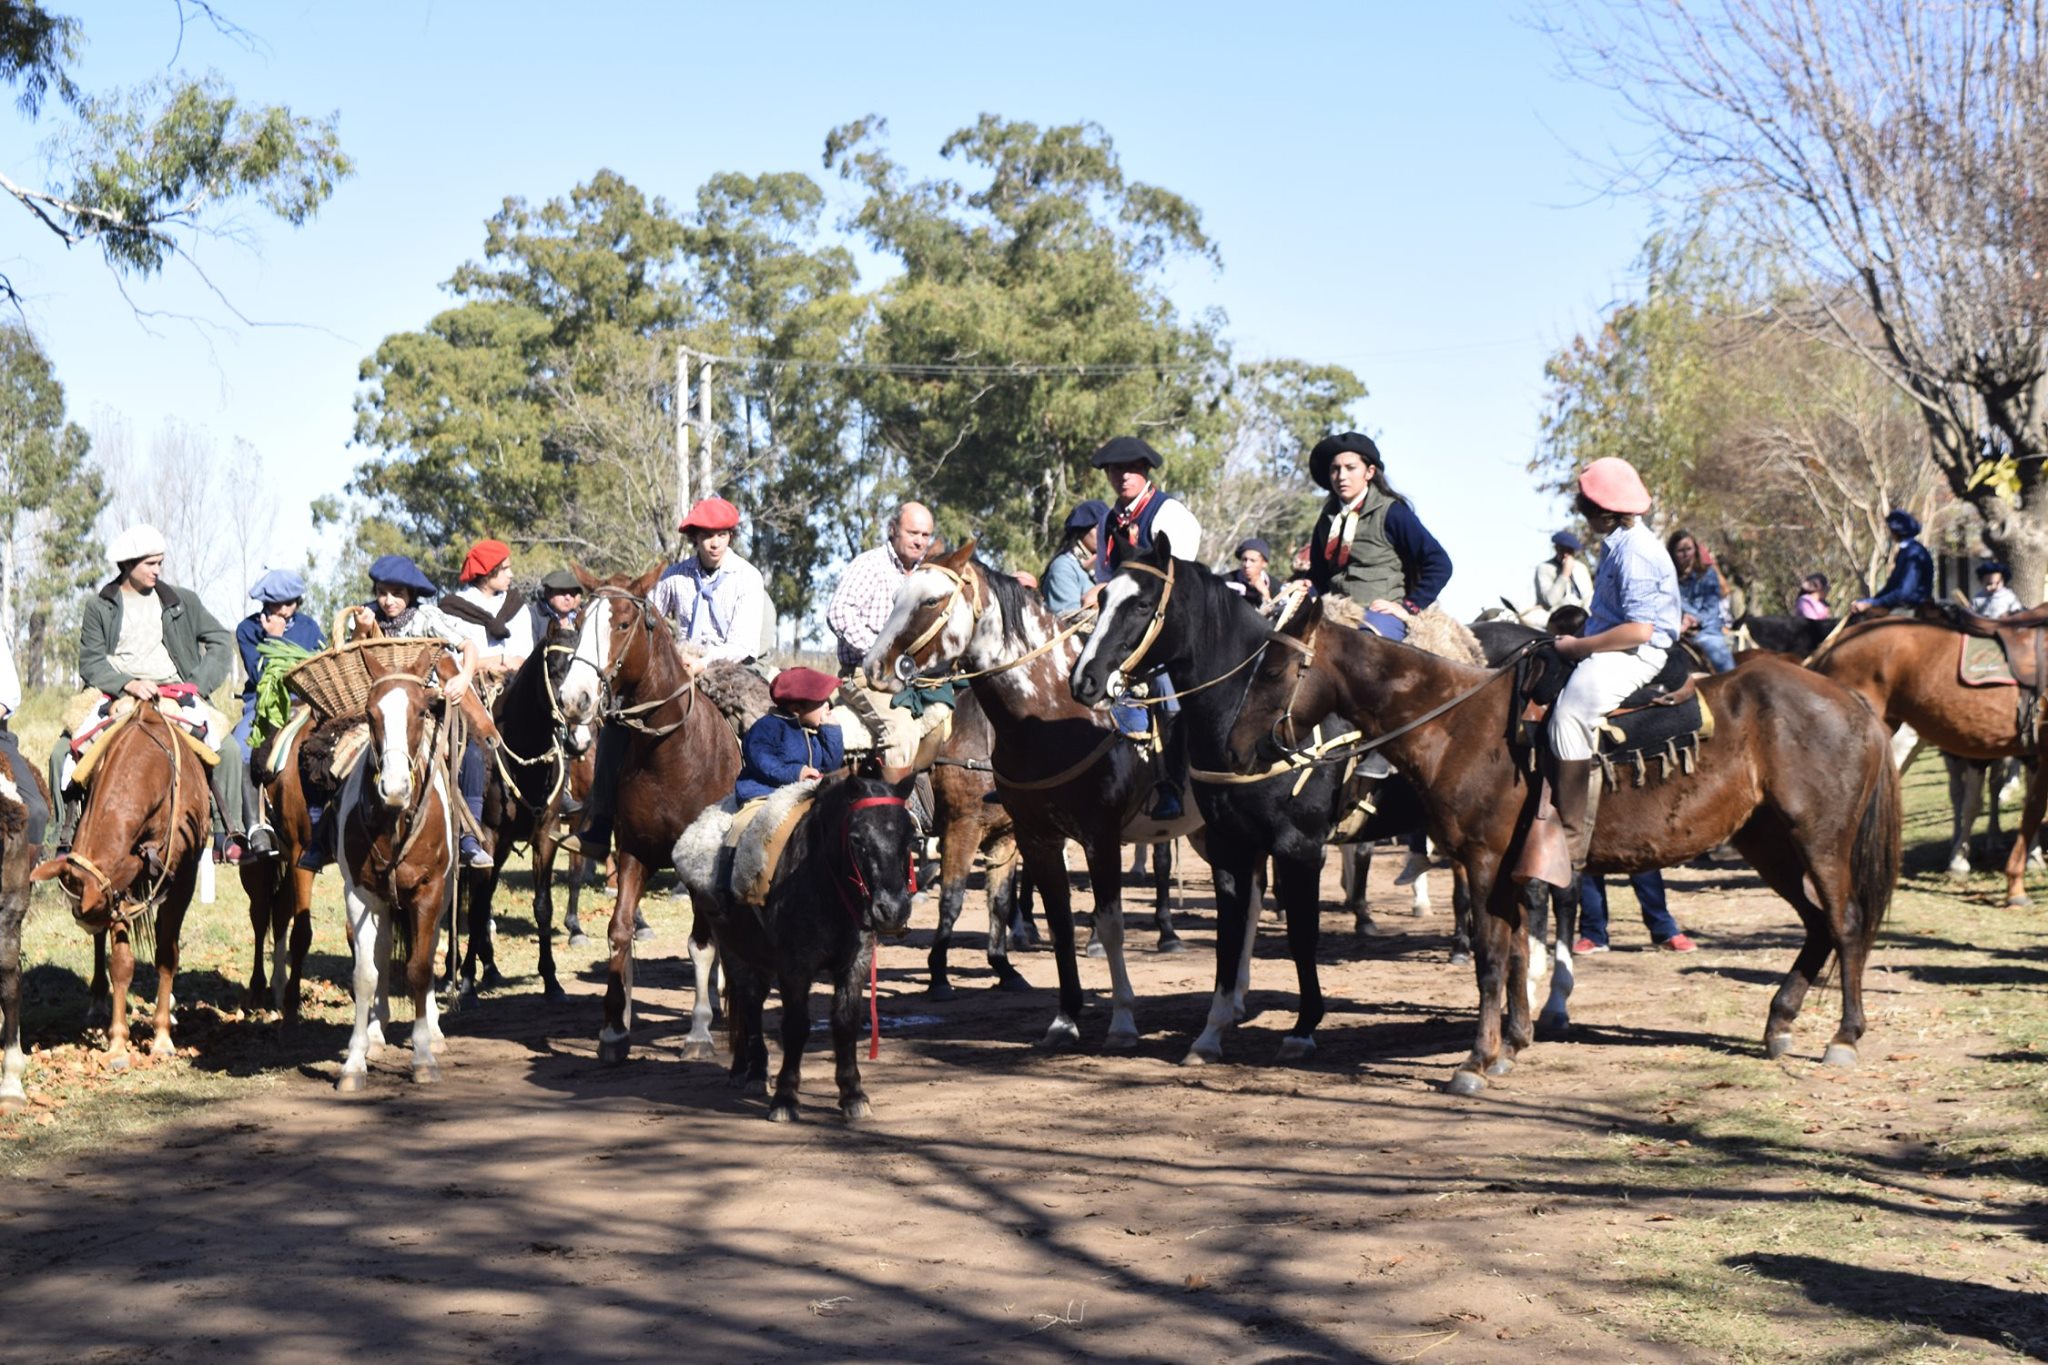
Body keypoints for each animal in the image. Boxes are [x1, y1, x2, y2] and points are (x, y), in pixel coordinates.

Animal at [32, 712, 214, 1072]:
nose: (88, 922)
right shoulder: (121, 888)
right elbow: (120, 962)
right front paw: (117, 1043)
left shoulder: (182, 879)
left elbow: (167, 954)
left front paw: (162, 1036)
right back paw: (98, 999)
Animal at [557, 564, 741, 1064]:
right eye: (578, 620)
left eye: (623, 624)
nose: (574, 698)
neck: (671, 754)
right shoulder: (633, 853)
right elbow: (620, 931)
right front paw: (613, 1029)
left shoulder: (698, 866)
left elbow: (700, 944)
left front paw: (698, 1033)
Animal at [868, 540, 1196, 1047]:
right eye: (896, 595)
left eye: (930, 600)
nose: (875, 666)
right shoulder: (1028, 835)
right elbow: (1048, 917)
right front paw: (1064, 1016)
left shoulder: (1086, 836)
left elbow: (1099, 920)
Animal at [1220, 601, 1892, 1096]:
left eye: (1275, 672)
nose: (1236, 746)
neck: (1460, 726)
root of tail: (1851, 701)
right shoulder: (1508, 869)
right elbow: (1520, 951)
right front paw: (1512, 1043)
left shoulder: (1484, 862)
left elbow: (1494, 957)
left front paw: (1476, 1060)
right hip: (1769, 842)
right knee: (1818, 925)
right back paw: (1779, 1022)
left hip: (1819, 841)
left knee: (1846, 922)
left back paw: (1844, 1037)